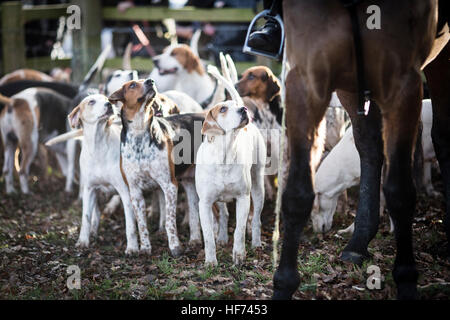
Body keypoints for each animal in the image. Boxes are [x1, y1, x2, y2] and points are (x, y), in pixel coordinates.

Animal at [276, 0, 448, 300]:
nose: (319, 232)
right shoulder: (308, 79)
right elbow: (296, 194)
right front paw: (284, 283)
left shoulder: (403, 84)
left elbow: (400, 192)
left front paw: (406, 278)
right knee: (371, 146)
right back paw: (358, 242)